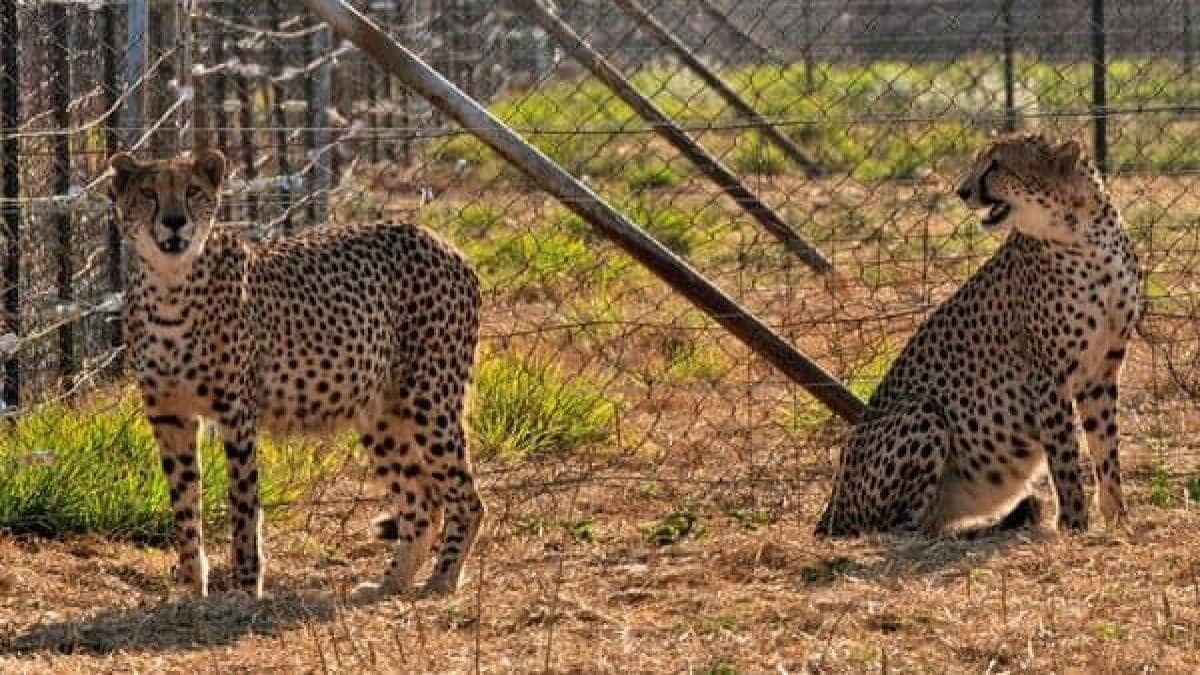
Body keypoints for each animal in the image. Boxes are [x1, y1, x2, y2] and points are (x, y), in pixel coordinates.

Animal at [110, 149, 484, 595]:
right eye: (148, 193)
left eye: (193, 191)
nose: (174, 221)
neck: (170, 286)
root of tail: (437, 239)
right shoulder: (169, 416)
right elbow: (184, 504)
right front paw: (191, 587)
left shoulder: (236, 413)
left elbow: (243, 505)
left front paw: (245, 587)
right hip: (381, 412)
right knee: (423, 501)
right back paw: (388, 585)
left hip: (430, 398)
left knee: (466, 497)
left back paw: (442, 579)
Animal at [816, 133, 1142, 535]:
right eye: (979, 161)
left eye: (996, 164)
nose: (962, 191)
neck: (1085, 234)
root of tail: (831, 505)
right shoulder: (1047, 373)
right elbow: (1065, 456)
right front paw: (1073, 524)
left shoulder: (1102, 369)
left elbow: (1105, 447)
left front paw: (1118, 519)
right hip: (923, 412)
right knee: (901, 526)